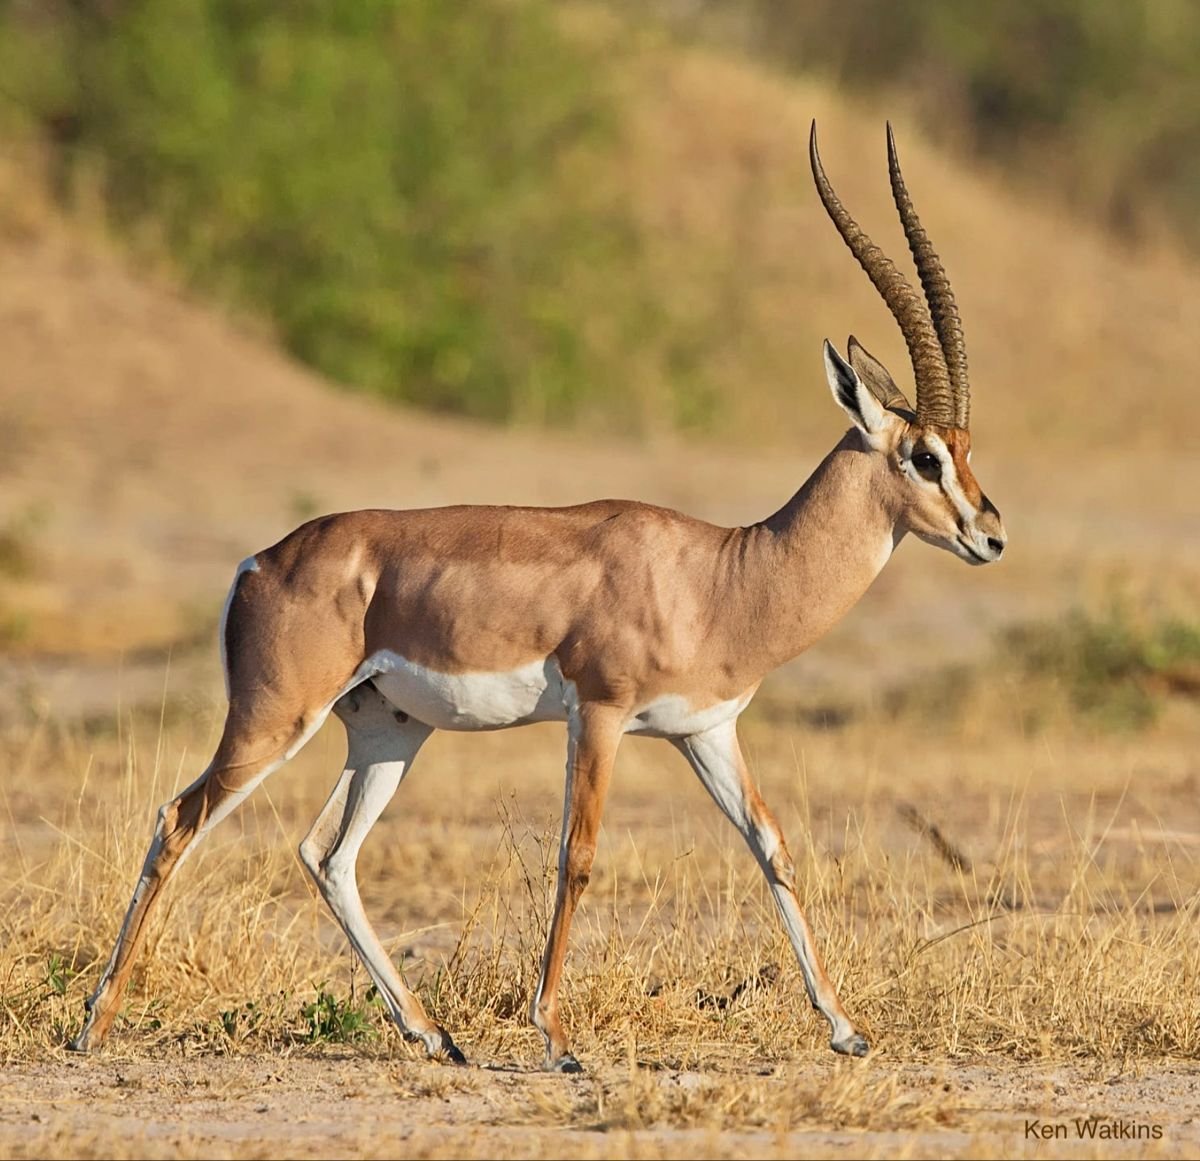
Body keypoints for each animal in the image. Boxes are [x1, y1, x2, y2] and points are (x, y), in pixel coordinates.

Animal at [71, 123, 1006, 1071]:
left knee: (328, 853)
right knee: (180, 818)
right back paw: (94, 1024)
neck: (719, 574)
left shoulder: (707, 730)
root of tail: (260, 562)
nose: (991, 535)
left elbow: (771, 846)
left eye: (966, 447)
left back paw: (433, 1033)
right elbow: (578, 853)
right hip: (274, 719)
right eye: (924, 454)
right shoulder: (598, 713)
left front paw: (847, 1028)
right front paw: (555, 1036)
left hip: (387, 730)